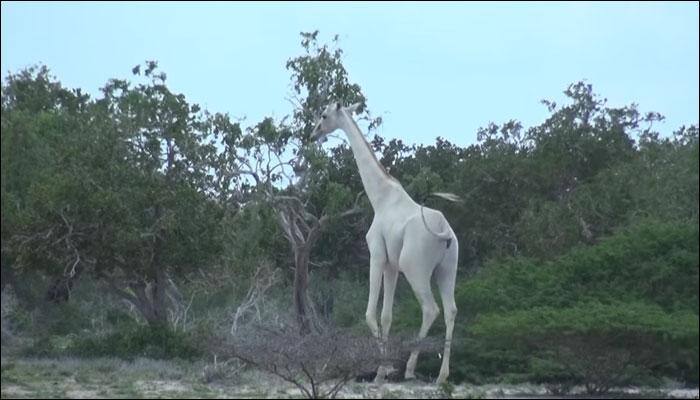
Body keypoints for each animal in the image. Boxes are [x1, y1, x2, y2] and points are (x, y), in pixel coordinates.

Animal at [312, 101, 460, 382]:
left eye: (324, 116)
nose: (314, 133)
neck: (380, 198)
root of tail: (444, 231)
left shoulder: (377, 256)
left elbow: (370, 313)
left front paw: (383, 369)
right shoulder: (392, 266)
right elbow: (387, 315)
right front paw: (385, 368)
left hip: (416, 269)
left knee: (431, 309)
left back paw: (410, 369)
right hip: (447, 270)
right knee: (451, 310)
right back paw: (442, 376)